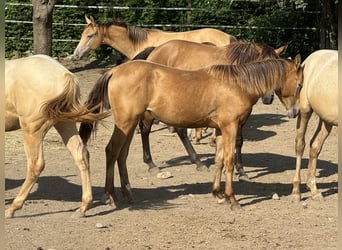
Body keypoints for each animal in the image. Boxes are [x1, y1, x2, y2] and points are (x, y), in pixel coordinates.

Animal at [5, 54, 109, 217]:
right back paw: (83, 208)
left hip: (32, 129)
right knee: (81, 155)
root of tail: (64, 74)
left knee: (36, 164)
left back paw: (13, 208)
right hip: (64, 123)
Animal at [78, 56, 302, 209]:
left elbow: (219, 161)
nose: (295, 112)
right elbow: (229, 162)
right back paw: (111, 196)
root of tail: (115, 71)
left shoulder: (220, 129)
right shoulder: (230, 127)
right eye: (299, 84)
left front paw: (217, 193)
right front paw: (232, 199)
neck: (238, 84)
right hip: (126, 123)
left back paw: (128, 194)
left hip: (130, 125)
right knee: (111, 152)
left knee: (121, 155)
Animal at [290, 49, 338, 202]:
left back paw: (313, 189)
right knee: (300, 144)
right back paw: (296, 192)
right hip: (305, 111)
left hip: (327, 120)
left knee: (315, 146)